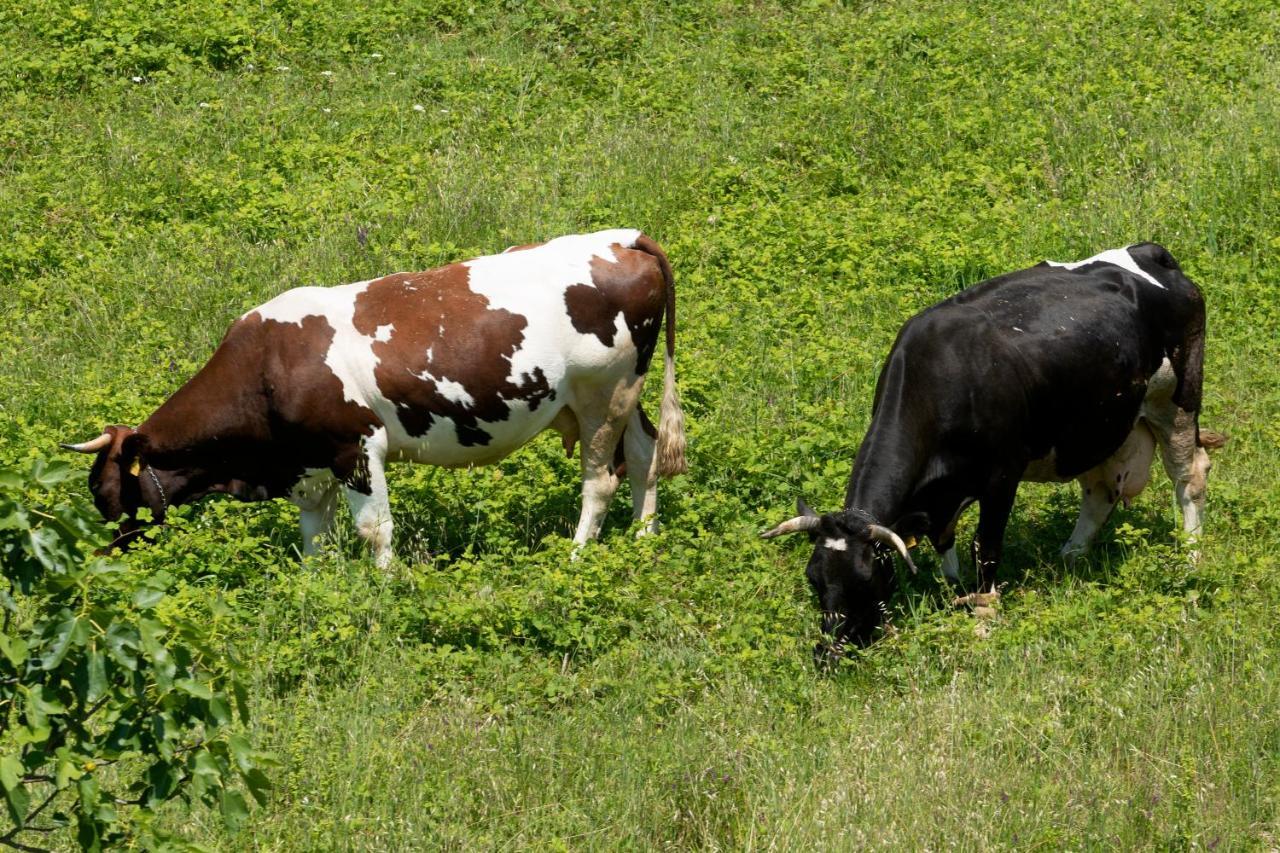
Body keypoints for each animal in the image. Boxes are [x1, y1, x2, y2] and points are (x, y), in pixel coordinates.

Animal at [64, 229, 686, 568]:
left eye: (106, 493)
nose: (107, 560)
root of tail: (621, 237)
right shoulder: (309, 466)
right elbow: (315, 540)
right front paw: (315, 589)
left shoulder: (358, 448)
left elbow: (373, 530)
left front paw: (387, 589)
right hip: (618, 396)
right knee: (645, 456)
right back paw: (644, 538)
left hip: (602, 396)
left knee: (601, 480)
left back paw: (577, 555)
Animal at [762, 242, 1223, 648]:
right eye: (814, 578)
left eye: (866, 577)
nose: (831, 649)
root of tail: (1151, 252)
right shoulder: (941, 496)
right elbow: (943, 540)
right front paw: (954, 593)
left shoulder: (1002, 475)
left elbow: (985, 546)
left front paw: (984, 618)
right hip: (1099, 424)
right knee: (1100, 491)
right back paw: (1069, 556)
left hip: (1175, 400)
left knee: (1190, 477)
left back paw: (1191, 558)